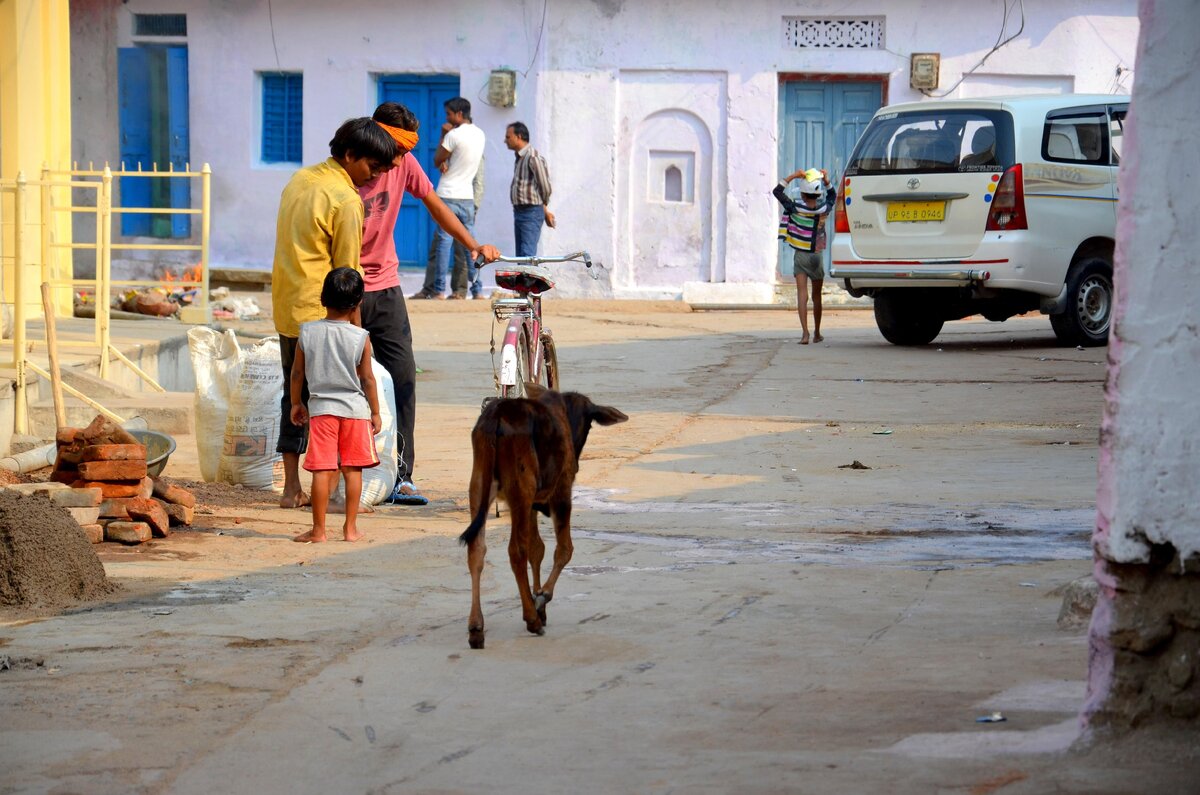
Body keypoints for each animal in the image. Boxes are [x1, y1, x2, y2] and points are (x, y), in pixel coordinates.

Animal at [458, 386, 628, 653]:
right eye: (589, 426)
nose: (576, 461)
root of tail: (497, 414)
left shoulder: (532, 507)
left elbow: (537, 549)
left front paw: (539, 601)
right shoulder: (561, 493)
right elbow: (564, 549)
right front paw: (541, 598)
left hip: (479, 487)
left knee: (476, 550)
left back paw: (476, 627)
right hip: (521, 489)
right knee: (516, 551)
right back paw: (531, 619)